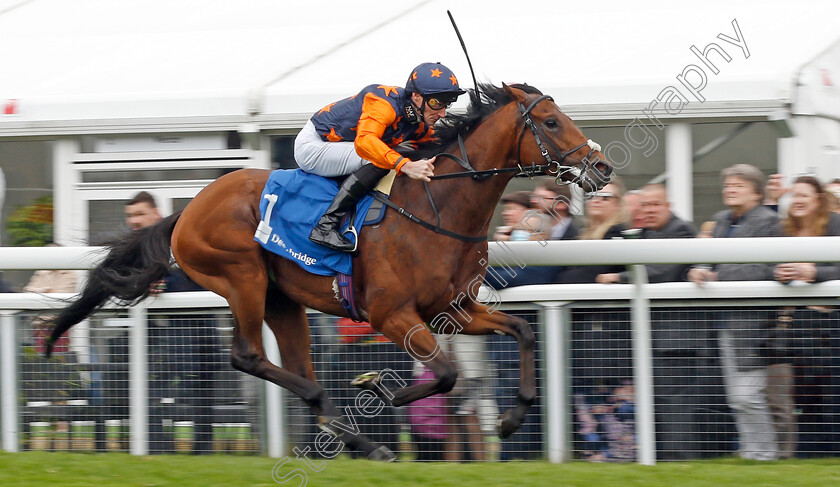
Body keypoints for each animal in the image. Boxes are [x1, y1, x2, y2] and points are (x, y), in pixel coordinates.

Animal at [46, 84, 612, 462]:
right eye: (552, 122)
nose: (602, 167)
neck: (439, 206)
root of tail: (186, 211)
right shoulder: (390, 314)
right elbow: (447, 374)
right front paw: (383, 392)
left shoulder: (453, 308)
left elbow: (521, 330)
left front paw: (513, 417)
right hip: (242, 277)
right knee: (248, 357)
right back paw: (350, 428)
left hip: (282, 300)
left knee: (297, 364)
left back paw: (350, 436)